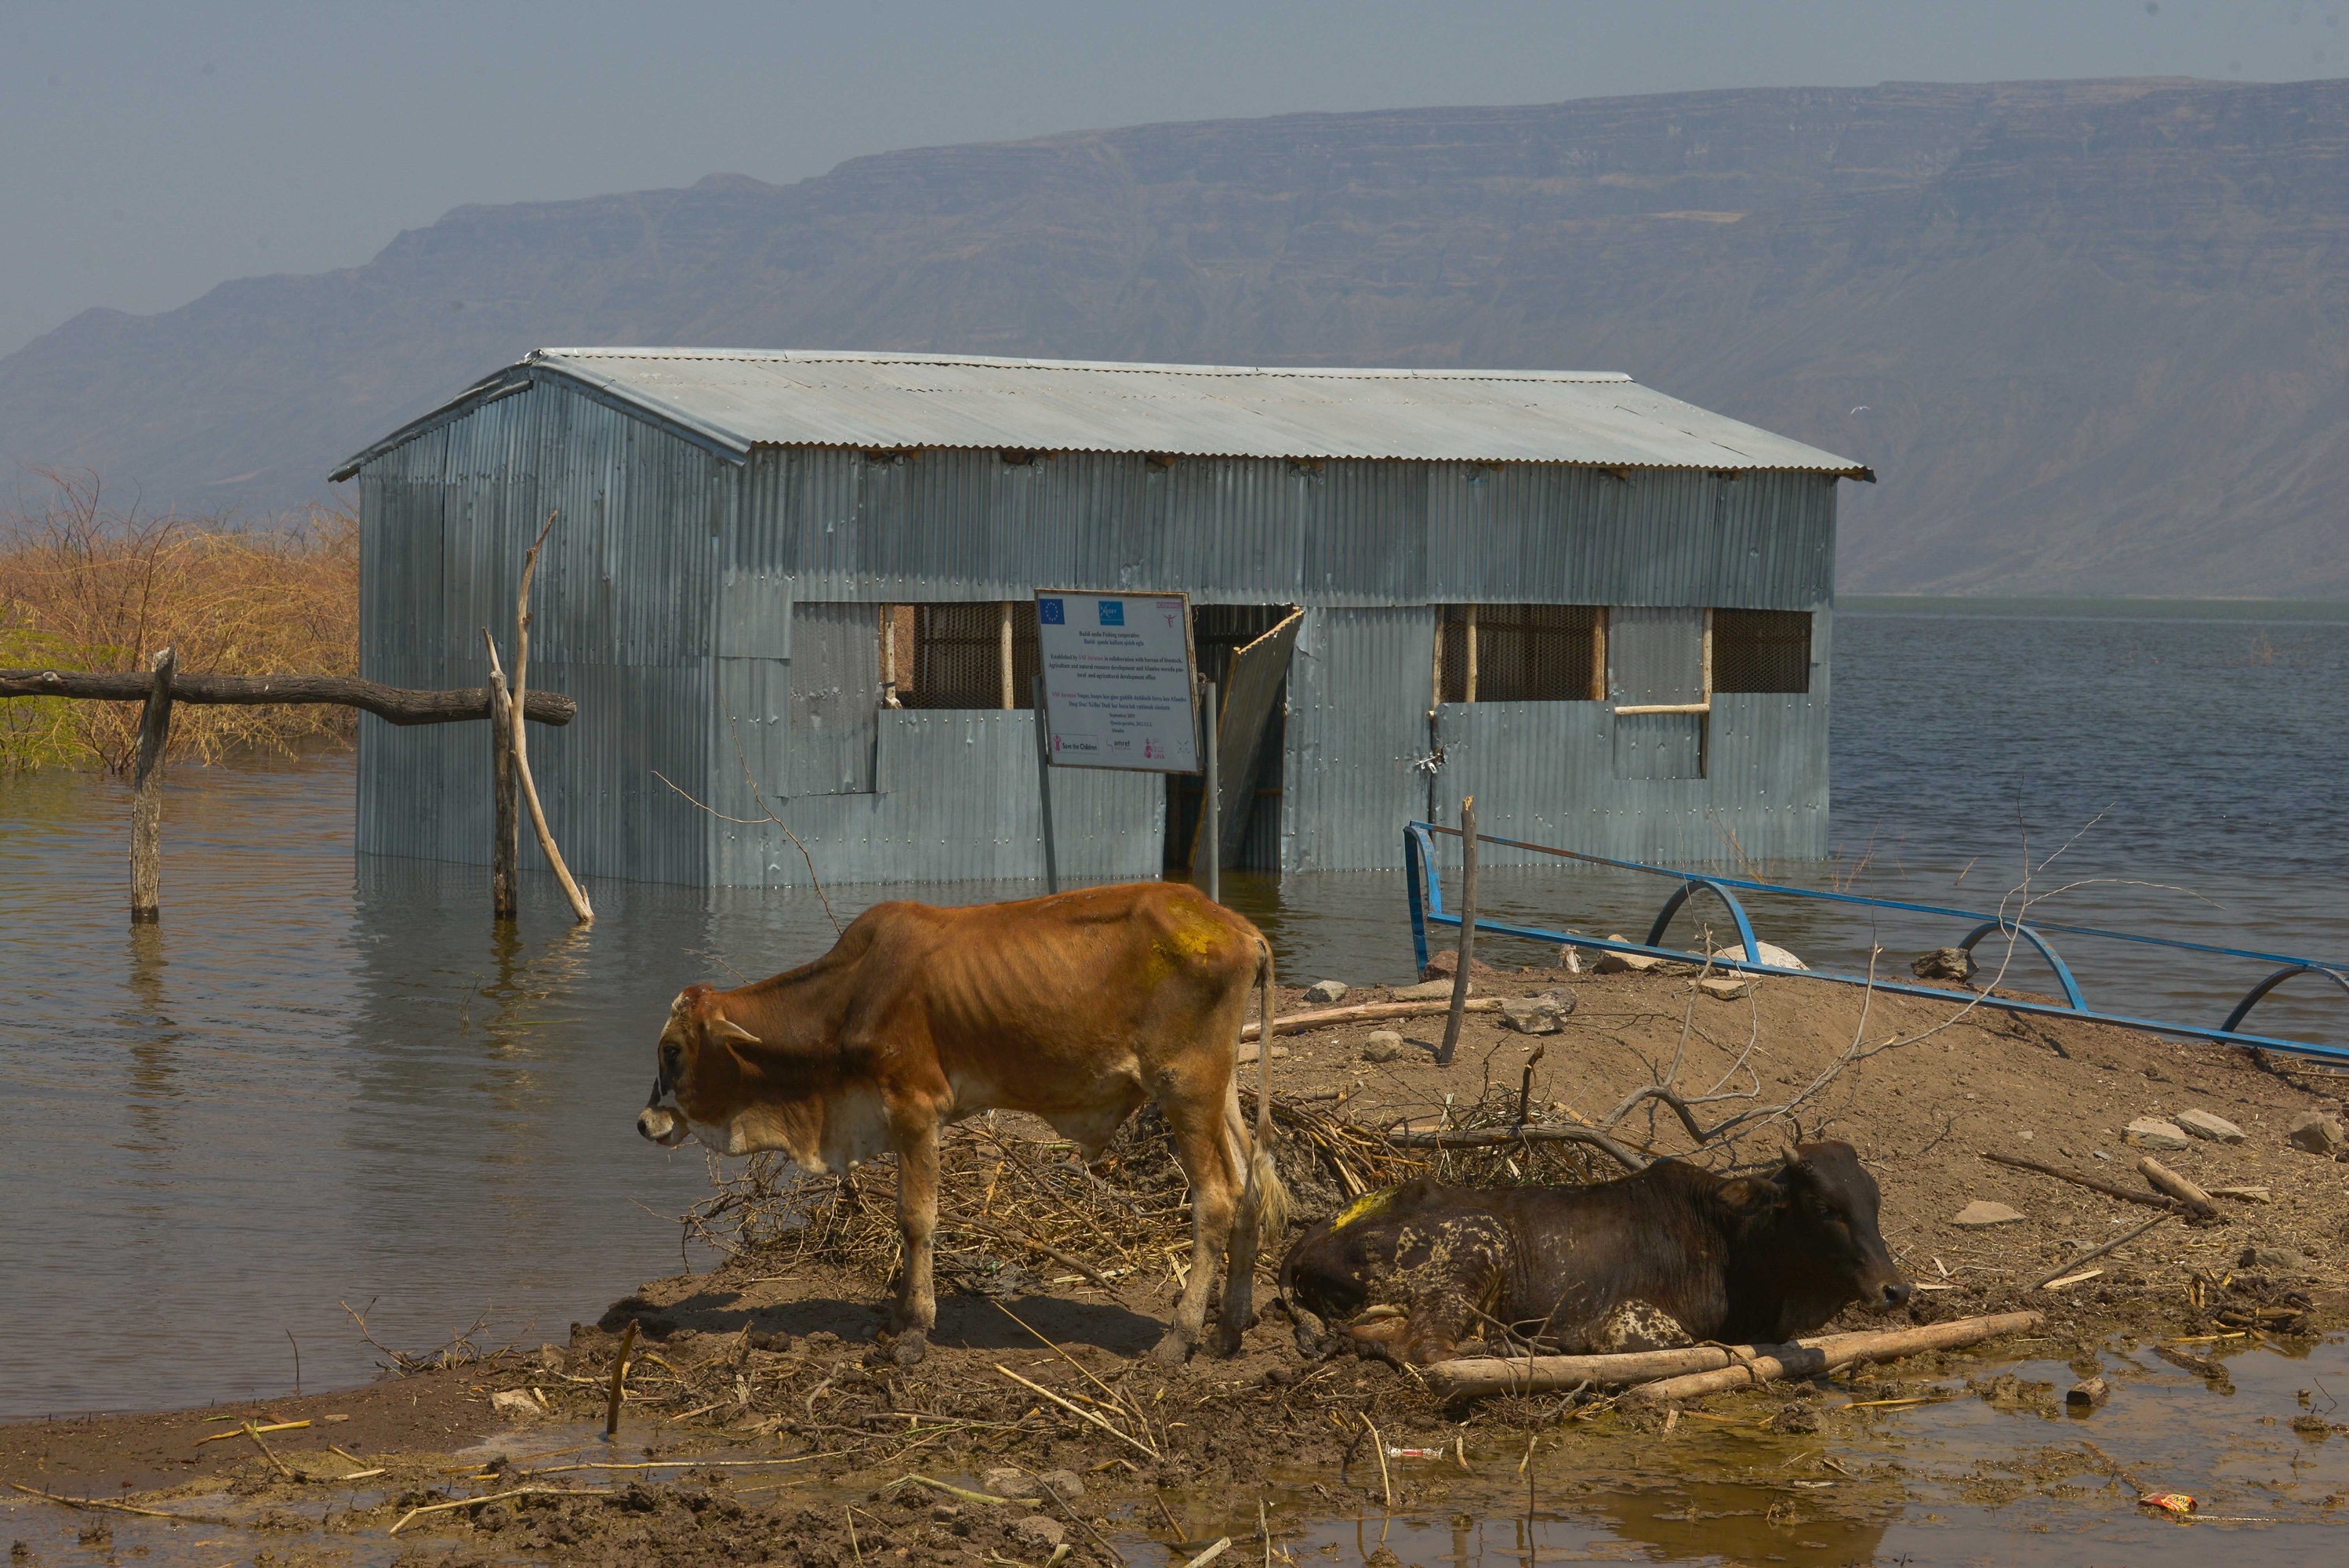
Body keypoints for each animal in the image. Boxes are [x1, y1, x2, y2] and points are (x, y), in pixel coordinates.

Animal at [636, 882, 1288, 1363]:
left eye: (671, 1051)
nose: (644, 1124)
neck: (851, 991)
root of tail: (1240, 929)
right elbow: (909, 1218)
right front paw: (896, 1317)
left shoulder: (916, 1107)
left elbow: (916, 1218)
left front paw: (915, 1331)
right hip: (1220, 1090)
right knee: (1252, 1187)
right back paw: (1229, 1330)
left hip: (1184, 1088)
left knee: (1217, 1198)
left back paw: (1180, 1337)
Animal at [1278, 1141, 1909, 1366]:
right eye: (1825, 1208)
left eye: (1875, 1203)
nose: (1897, 1289)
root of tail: (1308, 1240)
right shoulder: (1623, 1320)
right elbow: (1693, 1342)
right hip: (1482, 1237)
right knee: (1423, 1348)